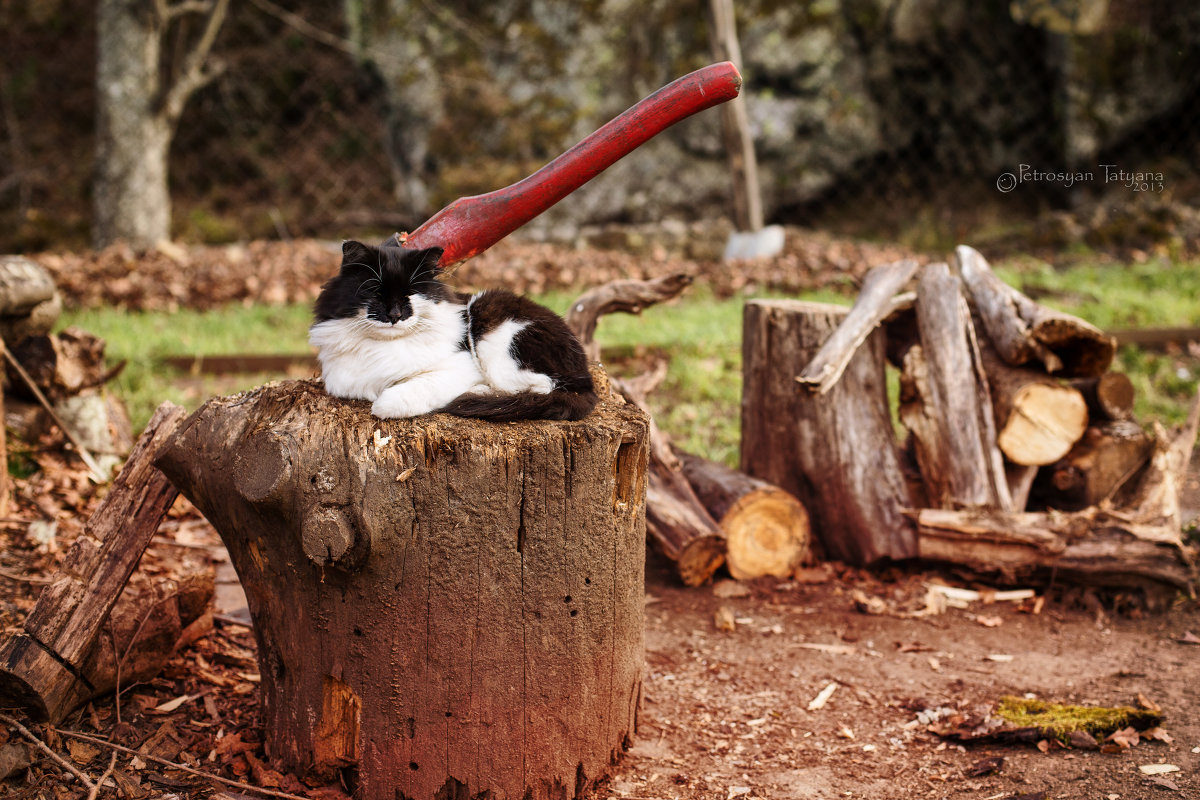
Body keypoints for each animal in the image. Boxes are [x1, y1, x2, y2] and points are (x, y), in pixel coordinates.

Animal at [304, 239, 595, 422]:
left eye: (411, 294)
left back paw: (478, 392)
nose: (395, 316)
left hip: (496, 337)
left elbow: (413, 389)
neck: (385, 346)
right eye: (375, 293)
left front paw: (384, 406)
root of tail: (586, 378)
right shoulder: (342, 380)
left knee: (540, 387)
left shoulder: (458, 367)